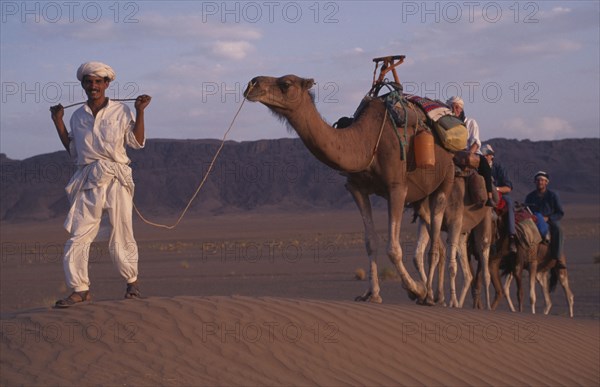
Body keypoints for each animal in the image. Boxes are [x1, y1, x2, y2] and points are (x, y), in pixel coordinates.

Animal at [241, 75, 452, 304]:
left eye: (286, 84)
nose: (252, 84)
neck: (366, 143)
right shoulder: (357, 189)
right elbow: (370, 242)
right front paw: (373, 294)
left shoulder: (396, 187)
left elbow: (393, 248)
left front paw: (416, 289)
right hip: (420, 199)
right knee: (438, 242)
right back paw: (435, 295)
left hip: (445, 180)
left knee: (435, 243)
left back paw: (433, 296)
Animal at [412, 173, 492, 310]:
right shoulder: (425, 220)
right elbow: (419, 256)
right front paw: (427, 297)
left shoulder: (454, 222)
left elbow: (452, 266)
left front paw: (450, 302)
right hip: (463, 234)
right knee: (468, 274)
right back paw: (459, 304)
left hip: (485, 219)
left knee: (485, 261)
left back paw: (487, 307)